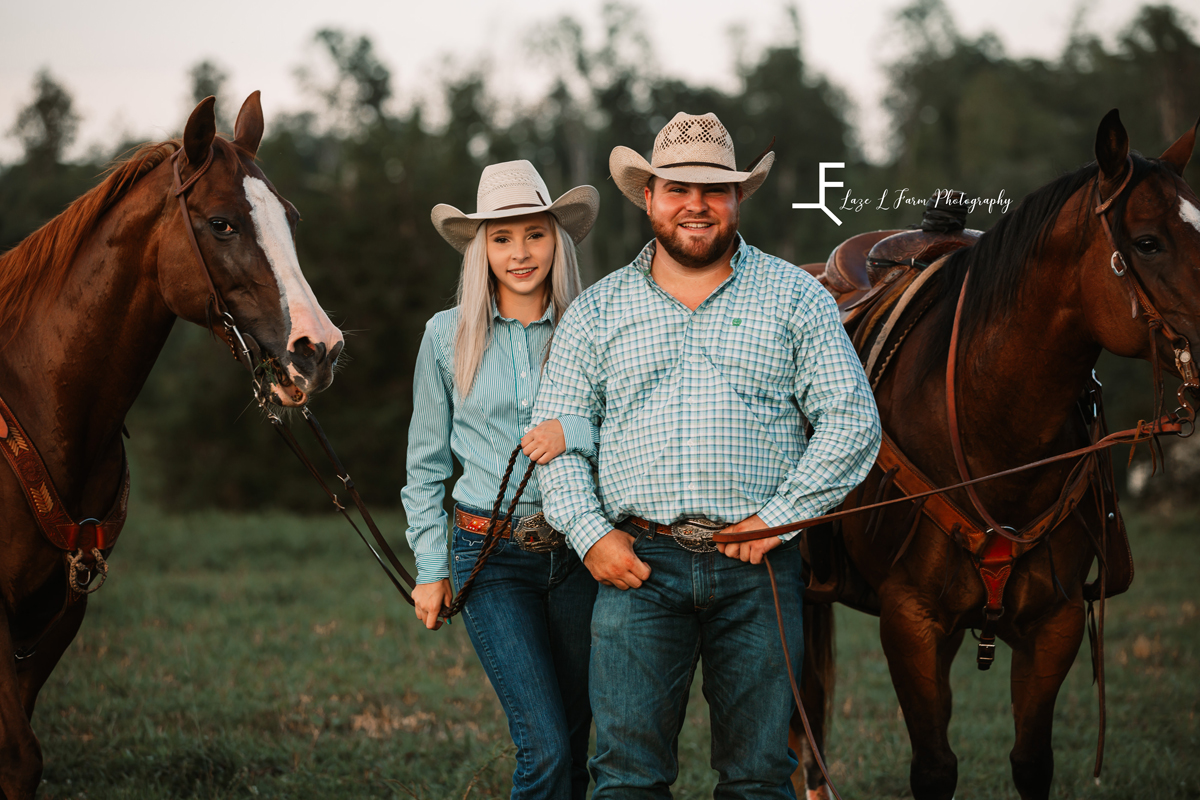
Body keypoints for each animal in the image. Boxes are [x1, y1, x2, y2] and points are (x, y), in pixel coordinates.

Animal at [0, 95, 343, 800]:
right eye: (221, 223)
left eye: (291, 218)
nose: (319, 349)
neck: (39, 402)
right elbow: (16, 756)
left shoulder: (58, 613)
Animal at [796, 110, 1200, 800]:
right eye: (1147, 242)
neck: (995, 429)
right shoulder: (910, 620)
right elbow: (934, 769)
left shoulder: (1055, 622)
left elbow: (1032, 762)